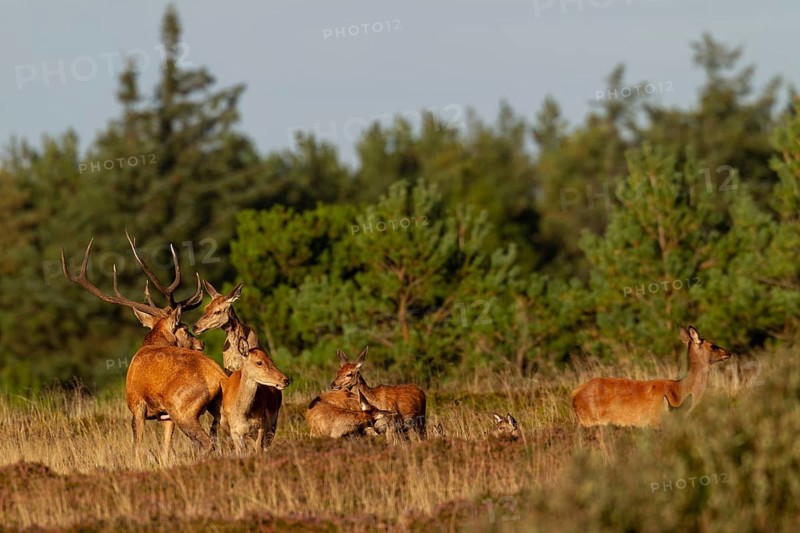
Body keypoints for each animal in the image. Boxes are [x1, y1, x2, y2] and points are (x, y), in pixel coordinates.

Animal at [62, 236, 226, 458]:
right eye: (184, 329)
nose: (201, 343)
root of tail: (220, 376)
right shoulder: (165, 415)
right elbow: (165, 450)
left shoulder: (136, 404)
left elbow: (136, 447)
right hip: (215, 408)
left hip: (183, 408)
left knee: (207, 442)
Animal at [571, 325, 732, 428]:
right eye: (713, 346)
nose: (728, 352)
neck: (681, 391)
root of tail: (574, 395)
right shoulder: (656, 420)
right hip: (591, 420)